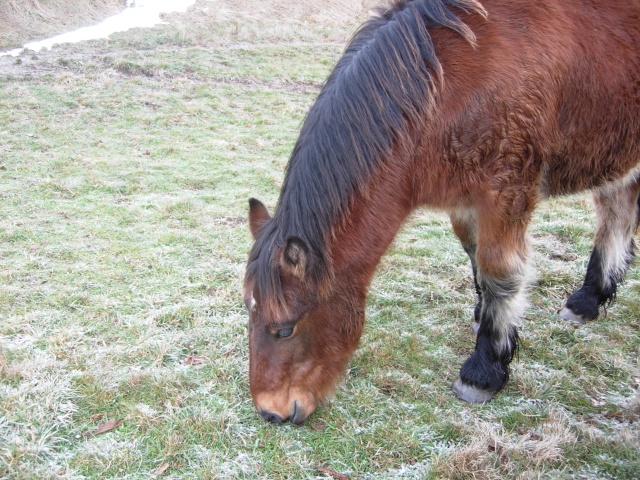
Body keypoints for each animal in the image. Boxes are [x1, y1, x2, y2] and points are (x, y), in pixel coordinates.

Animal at [242, 0, 636, 424]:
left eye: (285, 329)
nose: (270, 411)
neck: (446, 90)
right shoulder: (463, 200)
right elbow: (474, 256)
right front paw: (484, 318)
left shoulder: (507, 190)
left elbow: (499, 271)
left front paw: (484, 370)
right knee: (617, 217)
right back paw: (590, 299)